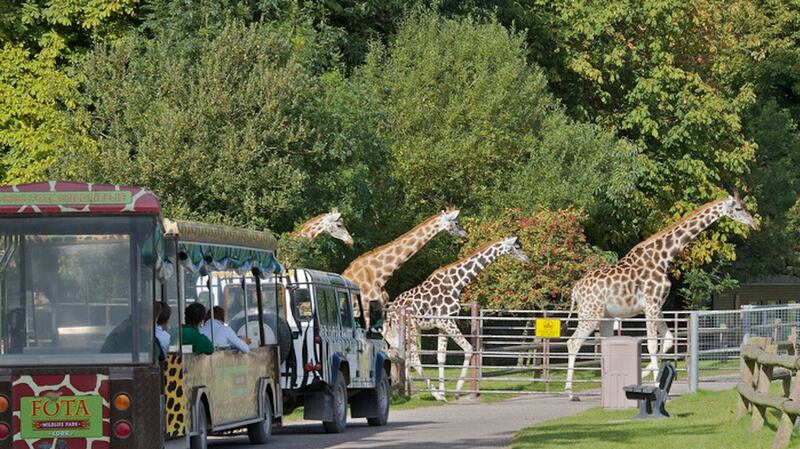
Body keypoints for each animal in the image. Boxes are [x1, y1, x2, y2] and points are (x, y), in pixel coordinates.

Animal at [382, 236, 528, 400]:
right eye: (516, 247)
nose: (527, 258)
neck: (457, 283)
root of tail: (390, 311)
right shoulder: (447, 321)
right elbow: (469, 348)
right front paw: (456, 391)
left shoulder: (442, 325)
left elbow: (441, 357)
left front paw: (444, 392)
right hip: (411, 327)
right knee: (412, 356)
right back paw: (426, 394)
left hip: (403, 330)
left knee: (402, 355)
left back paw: (414, 393)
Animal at [564, 192, 756, 400]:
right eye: (738, 208)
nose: (753, 222)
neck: (663, 258)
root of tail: (575, 290)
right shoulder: (651, 304)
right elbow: (651, 345)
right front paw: (656, 385)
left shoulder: (658, 306)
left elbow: (669, 339)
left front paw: (646, 375)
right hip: (590, 314)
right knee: (572, 342)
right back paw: (570, 392)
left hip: (605, 317)